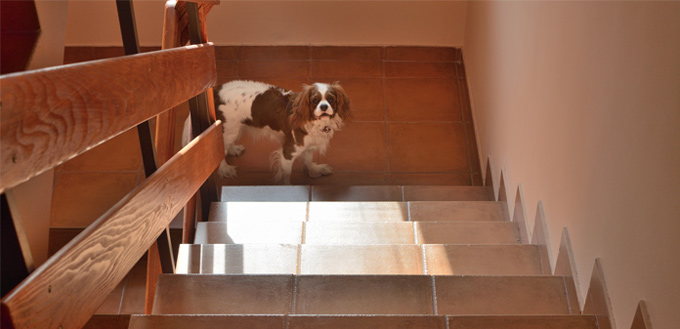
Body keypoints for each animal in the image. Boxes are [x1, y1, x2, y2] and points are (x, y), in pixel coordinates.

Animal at [183, 78, 350, 183]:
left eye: (331, 99)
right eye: (315, 101)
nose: (324, 107)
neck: (316, 123)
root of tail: (216, 91)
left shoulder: (309, 145)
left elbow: (308, 160)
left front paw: (315, 171)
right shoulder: (288, 151)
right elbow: (286, 175)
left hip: (234, 128)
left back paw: (233, 150)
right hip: (230, 128)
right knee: (220, 150)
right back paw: (225, 169)